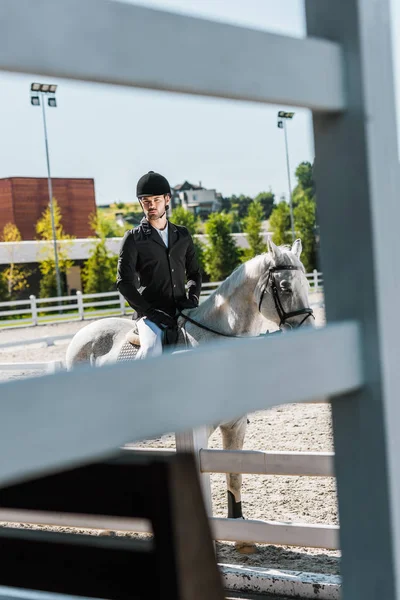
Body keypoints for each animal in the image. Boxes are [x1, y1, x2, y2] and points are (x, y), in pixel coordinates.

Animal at [66, 238, 316, 548]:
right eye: (284, 287)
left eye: (306, 284)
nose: (309, 332)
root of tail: (81, 336)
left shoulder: (235, 426)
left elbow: (234, 476)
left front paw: (242, 538)